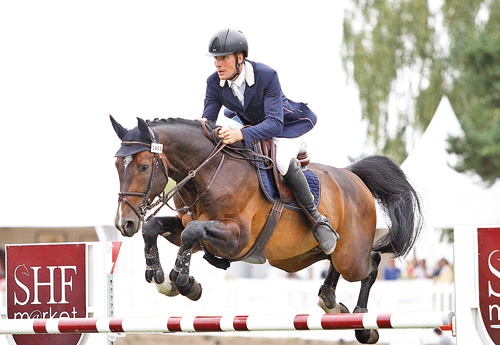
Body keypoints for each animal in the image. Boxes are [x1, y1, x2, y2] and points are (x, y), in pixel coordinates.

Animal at [110, 115, 422, 342]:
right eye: (117, 166)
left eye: (144, 167)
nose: (124, 223)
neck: (210, 172)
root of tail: (354, 176)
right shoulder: (196, 231)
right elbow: (155, 227)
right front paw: (161, 278)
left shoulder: (237, 239)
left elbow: (192, 233)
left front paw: (184, 281)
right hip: (304, 255)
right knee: (333, 258)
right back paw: (331, 301)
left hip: (351, 257)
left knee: (370, 264)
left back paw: (363, 323)